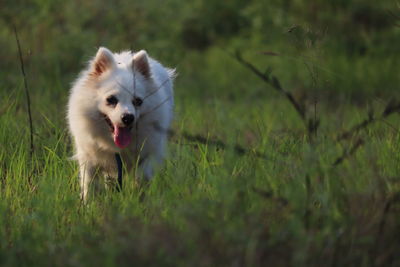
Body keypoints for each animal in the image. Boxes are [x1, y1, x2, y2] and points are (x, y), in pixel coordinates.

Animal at [68, 47, 174, 201]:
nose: (128, 117)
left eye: (138, 101)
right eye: (111, 99)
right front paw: (88, 205)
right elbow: (89, 187)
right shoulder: (89, 161)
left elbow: (141, 178)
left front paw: (138, 200)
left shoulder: (148, 155)